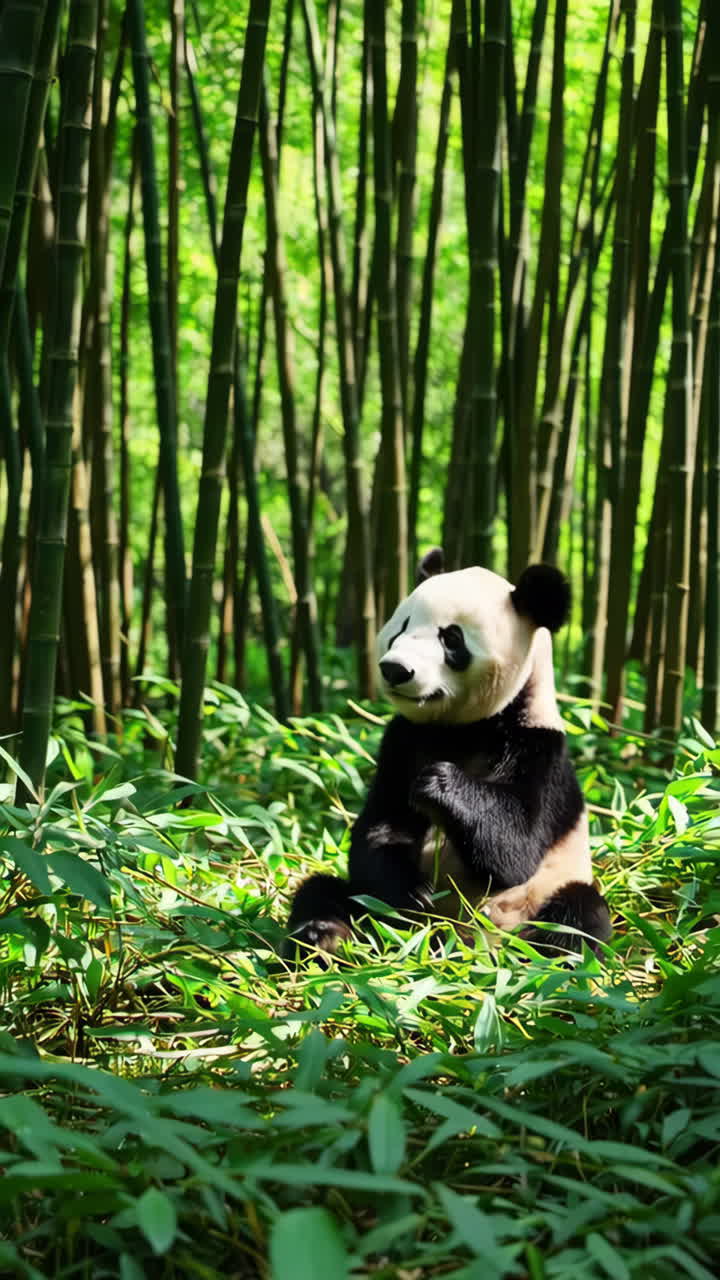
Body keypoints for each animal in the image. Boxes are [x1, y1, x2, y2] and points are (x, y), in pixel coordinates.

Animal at [287, 550, 612, 958]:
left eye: (452, 638)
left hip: (543, 898)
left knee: (578, 915)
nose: (395, 669)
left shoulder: (539, 750)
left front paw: (437, 783)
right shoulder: (402, 739)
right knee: (323, 890)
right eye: (401, 626)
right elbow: (380, 827)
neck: (463, 728)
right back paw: (323, 937)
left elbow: (518, 847)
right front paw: (412, 894)